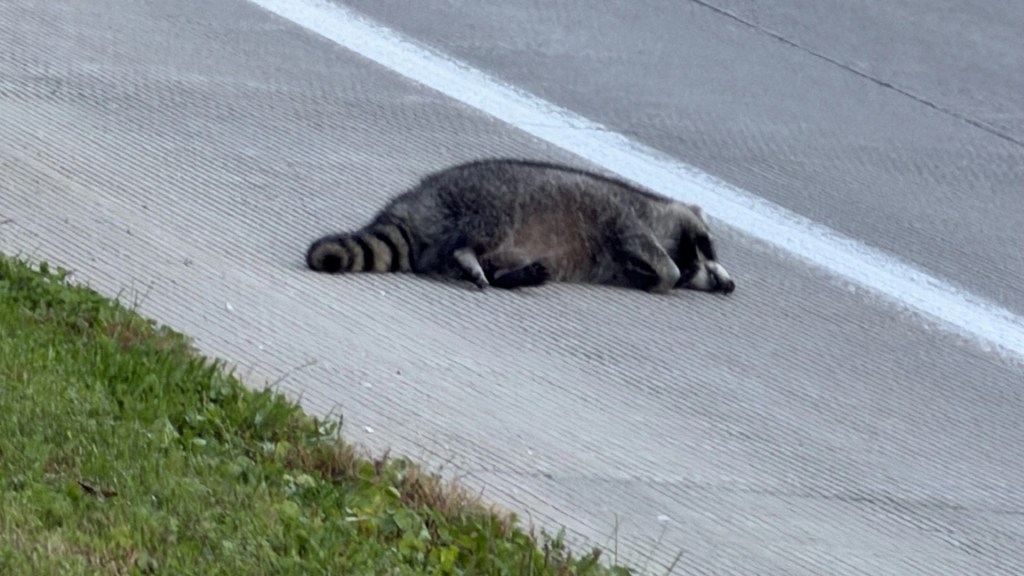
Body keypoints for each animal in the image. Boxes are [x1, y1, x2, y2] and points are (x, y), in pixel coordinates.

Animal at [306, 158, 735, 295]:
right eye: (712, 248)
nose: (730, 285)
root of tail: (415, 202)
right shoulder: (631, 218)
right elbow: (655, 255)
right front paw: (669, 274)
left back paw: (512, 275)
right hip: (488, 205)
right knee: (475, 237)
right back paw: (467, 254)